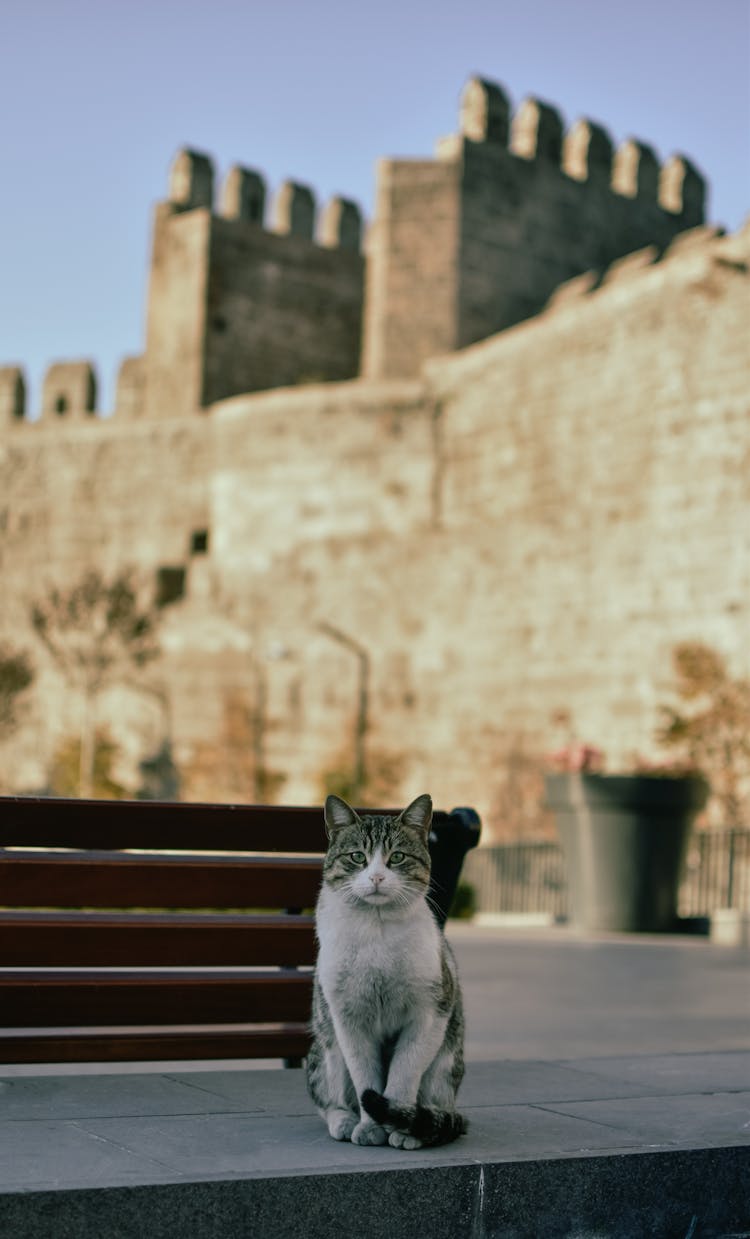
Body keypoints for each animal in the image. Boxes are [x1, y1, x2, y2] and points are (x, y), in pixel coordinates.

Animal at [303, 792, 461, 1149]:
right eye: (357, 857)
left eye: (397, 857)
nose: (376, 877)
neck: (376, 932)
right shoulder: (348, 1018)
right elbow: (364, 1077)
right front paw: (370, 1125)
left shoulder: (430, 1013)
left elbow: (403, 1074)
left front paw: (399, 1124)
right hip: (327, 1051)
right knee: (327, 1099)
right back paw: (344, 1120)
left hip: (444, 1063)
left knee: (440, 1104)